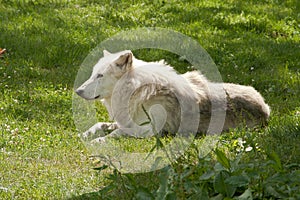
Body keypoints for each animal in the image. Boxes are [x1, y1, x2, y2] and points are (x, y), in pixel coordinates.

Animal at [76, 50, 270, 143]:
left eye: (100, 76)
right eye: (93, 74)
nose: (77, 91)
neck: (135, 90)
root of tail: (266, 108)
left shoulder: (150, 131)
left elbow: (117, 132)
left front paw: (99, 141)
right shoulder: (127, 120)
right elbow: (99, 125)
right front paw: (84, 135)